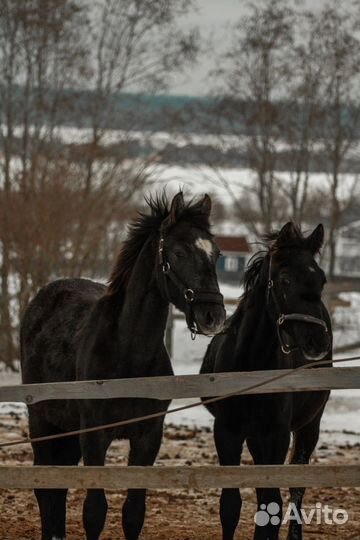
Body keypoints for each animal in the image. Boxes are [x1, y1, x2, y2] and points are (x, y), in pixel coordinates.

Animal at [200, 223, 332, 540]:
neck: (250, 364)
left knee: (296, 488)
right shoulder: (228, 431)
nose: (318, 342)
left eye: (321, 278)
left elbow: (272, 503)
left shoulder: (276, 434)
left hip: (309, 426)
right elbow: (231, 504)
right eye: (284, 279)